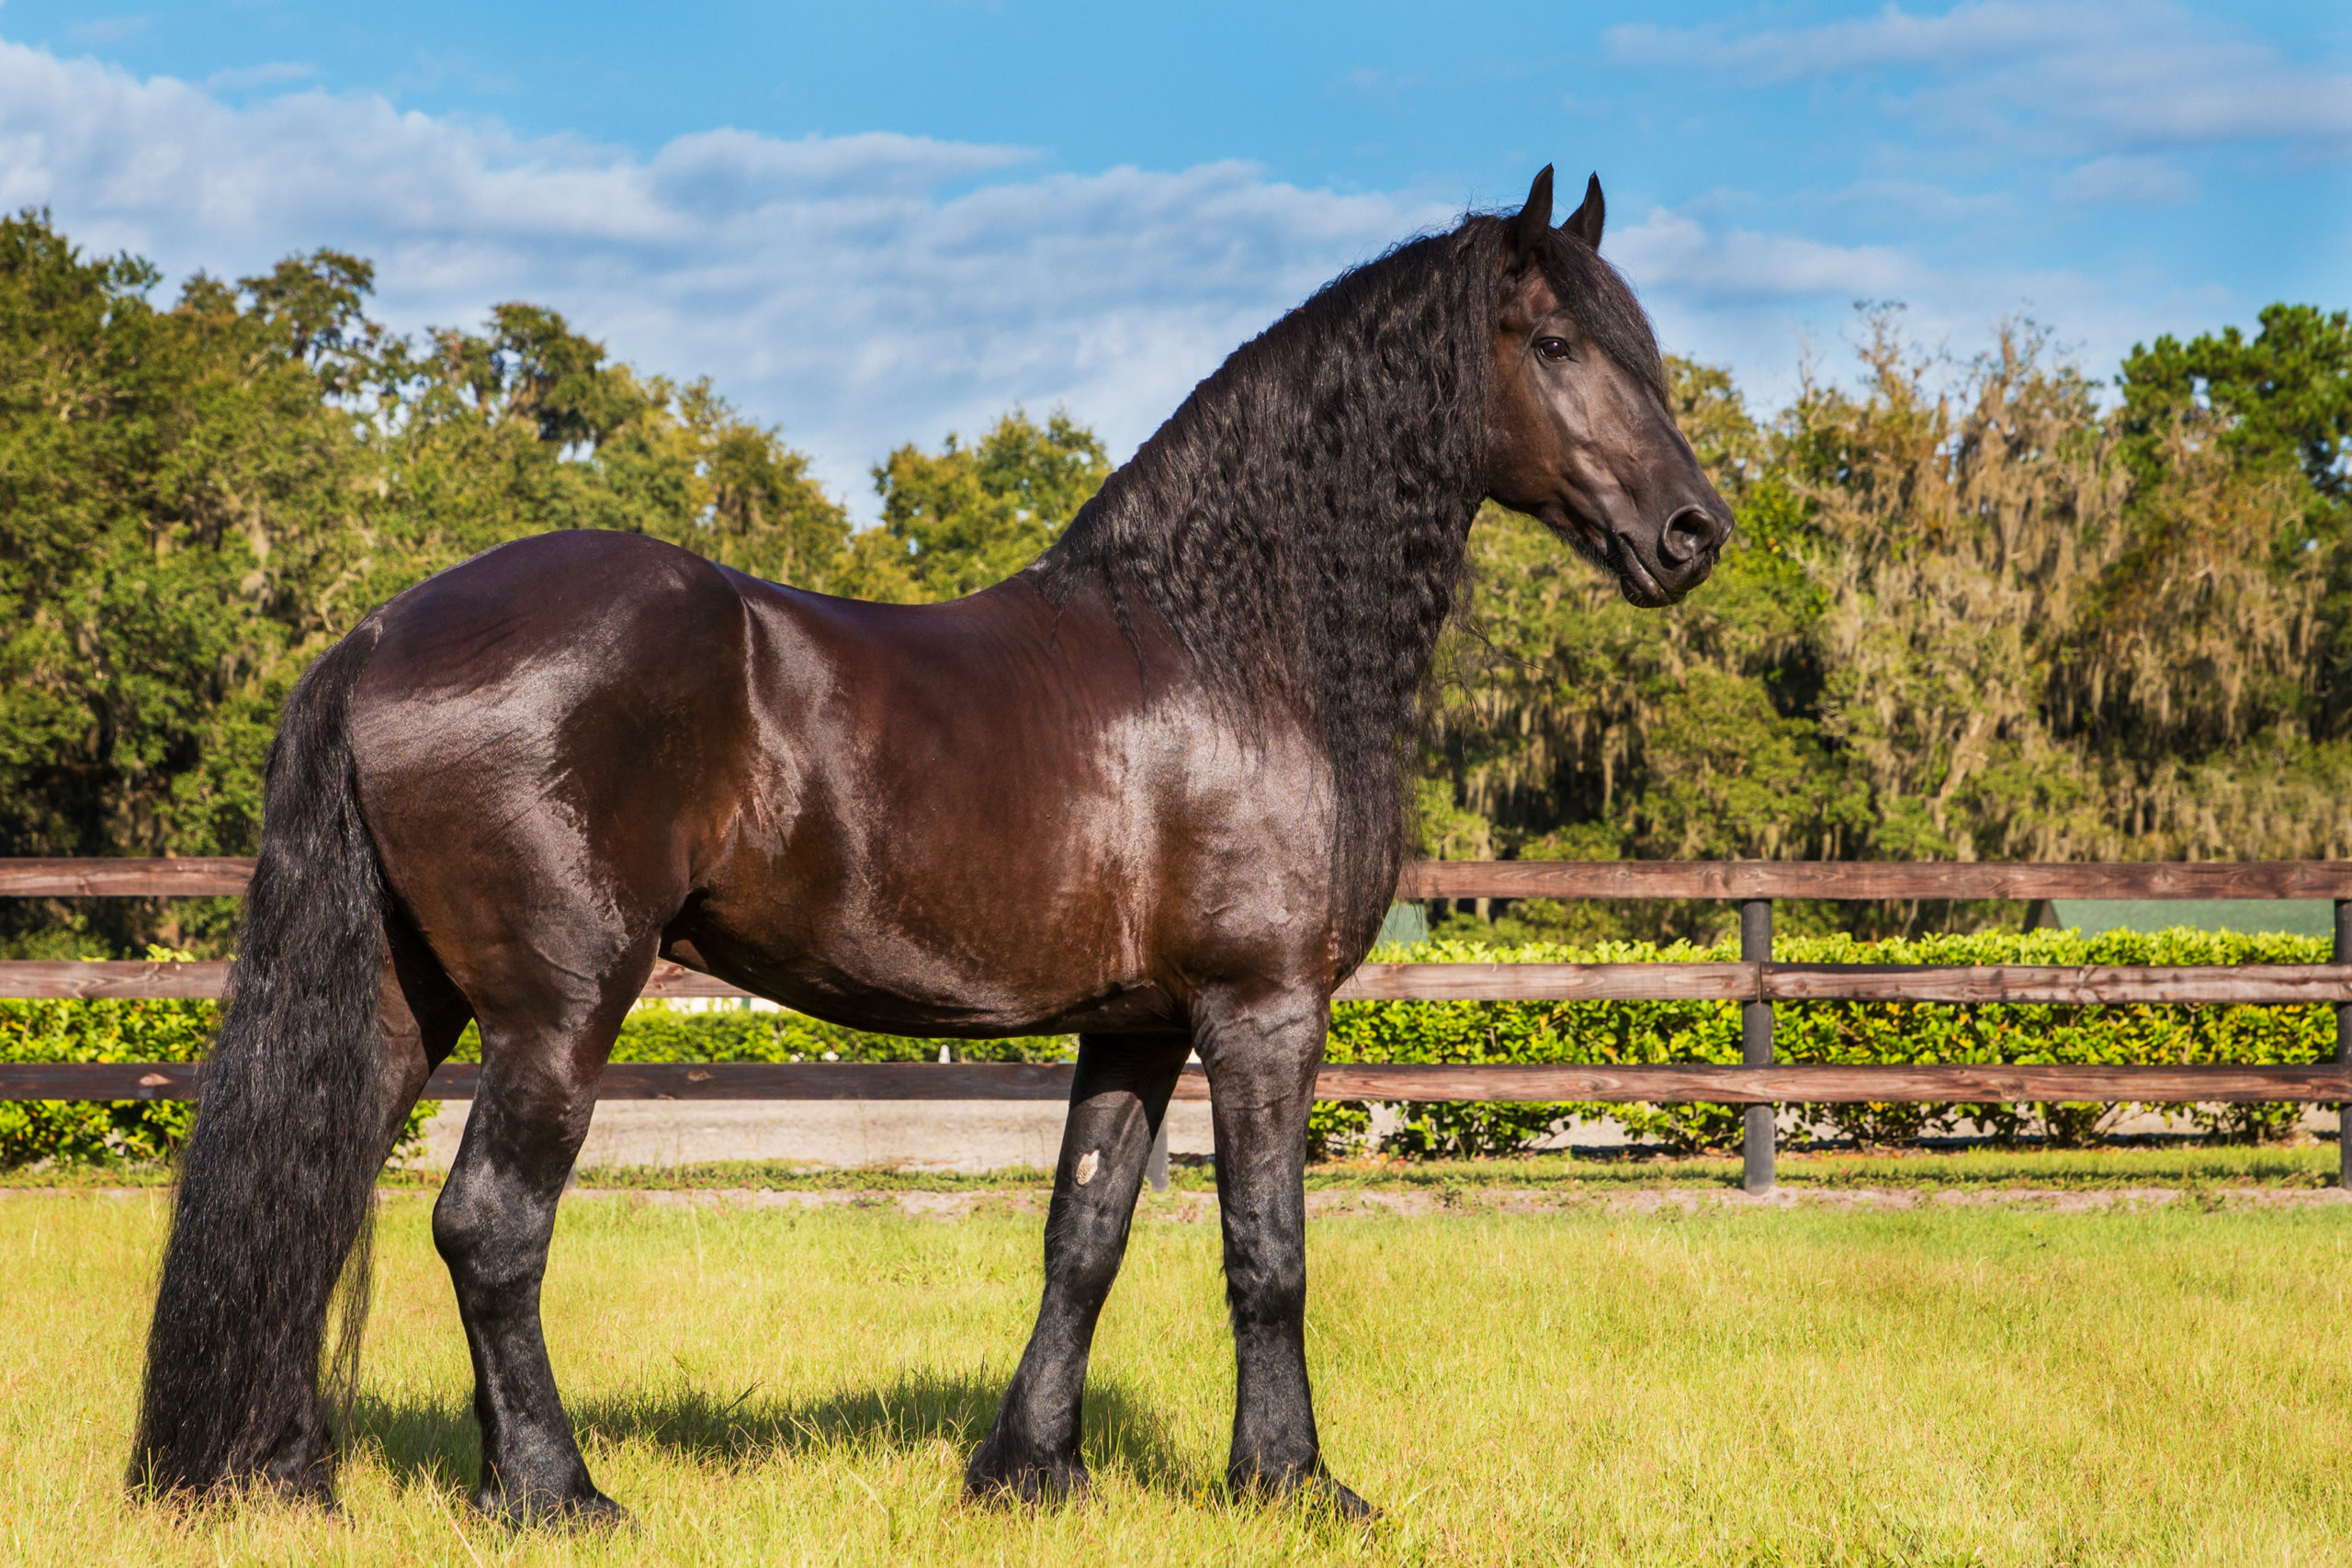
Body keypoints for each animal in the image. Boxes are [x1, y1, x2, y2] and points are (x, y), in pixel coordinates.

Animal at [137, 165, 1740, 1523]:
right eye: (1553, 341)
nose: (1694, 532)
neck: (1227, 640)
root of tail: (380, 628)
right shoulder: (1263, 1007)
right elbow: (1268, 1250)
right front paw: (1291, 1481)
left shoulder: (1138, 1023)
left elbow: (1084, 1234)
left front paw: (1031, 1469)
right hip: (559, 1005)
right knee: (487, 1223)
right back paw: (555, 1492)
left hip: (407, 999)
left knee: (318, 1203)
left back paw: (286, 1474)